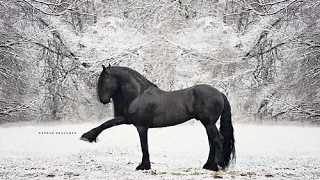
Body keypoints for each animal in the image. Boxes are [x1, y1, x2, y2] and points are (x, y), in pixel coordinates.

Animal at [80, 64, 235, 172]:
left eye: (103, 80)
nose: (103, 100)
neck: (139, 94)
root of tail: (219, 93)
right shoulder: (128, 120)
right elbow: (107, 124)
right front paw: (88, 136)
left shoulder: (141, 126)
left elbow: (144, 145)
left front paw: (144, 166)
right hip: (207, 124)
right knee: (212, 142)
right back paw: (207, 165)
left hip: (209, 123)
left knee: (218, 140)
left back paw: (214, 167)